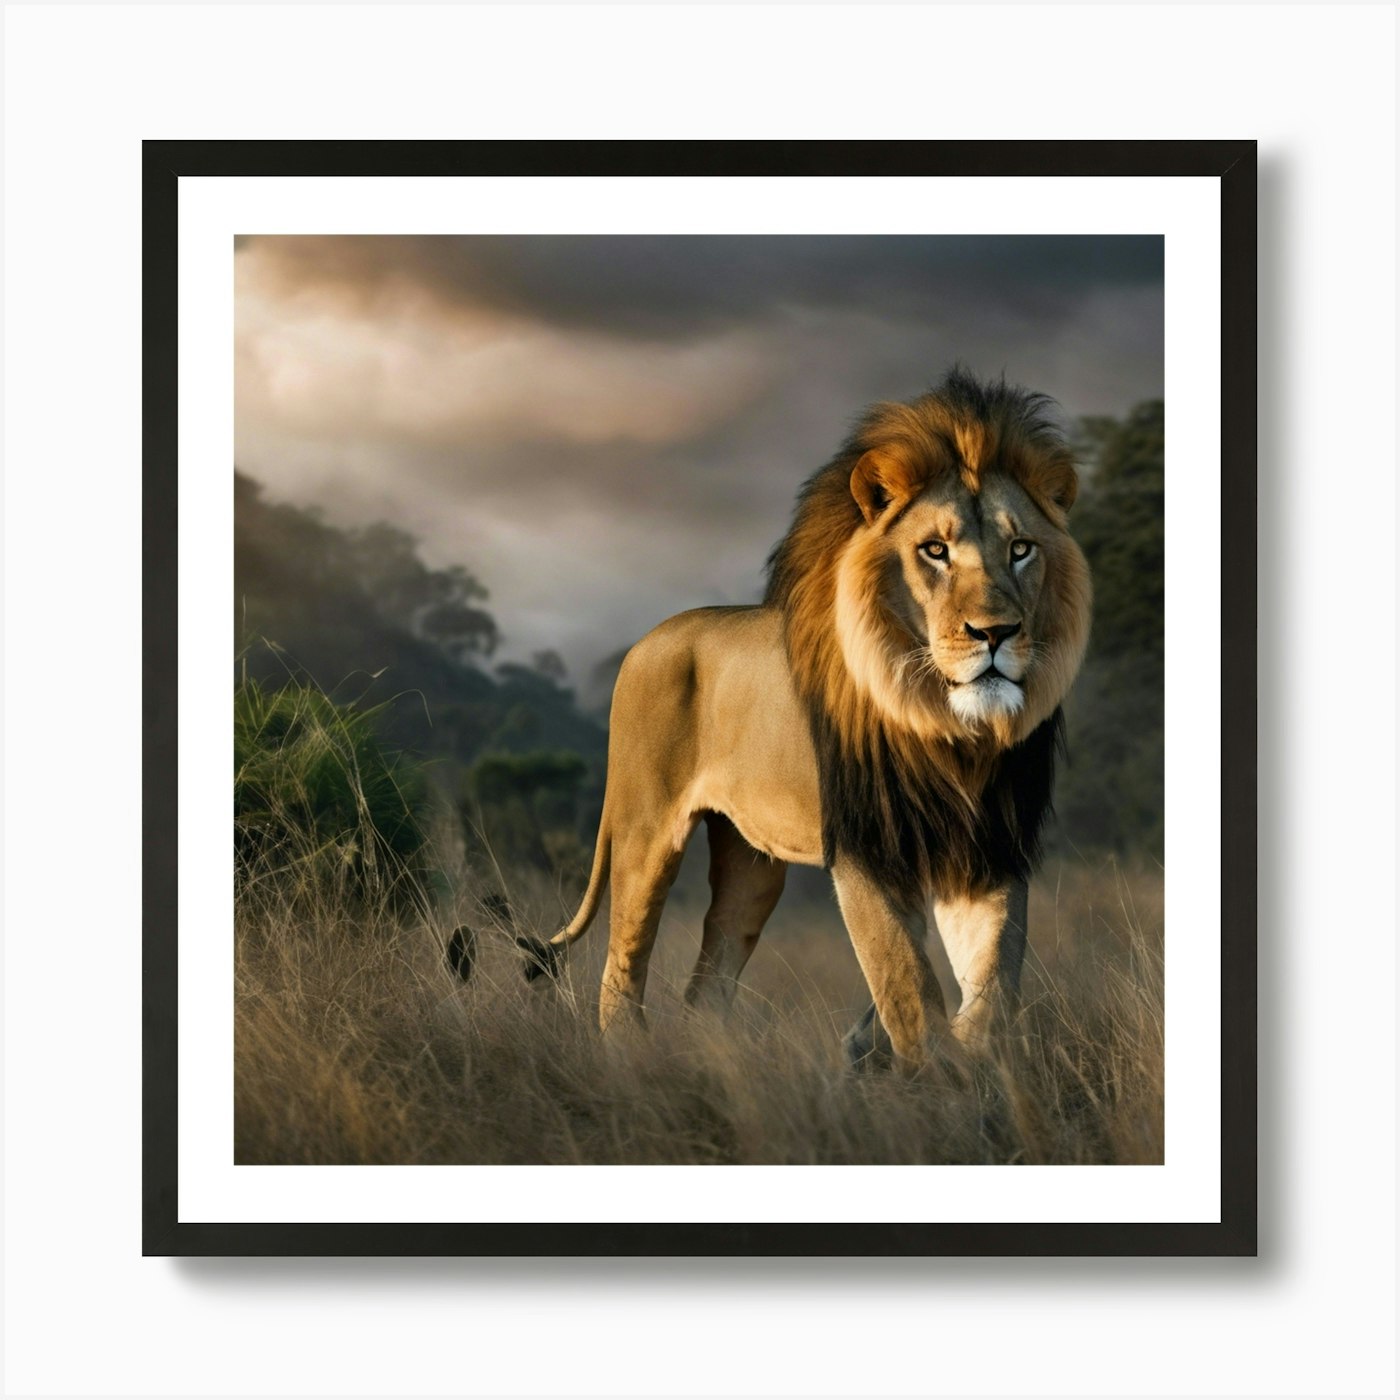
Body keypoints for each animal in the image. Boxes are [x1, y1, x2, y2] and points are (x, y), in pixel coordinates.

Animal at [467, 369, 1092, 1071]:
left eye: (1021, 549)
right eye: (934, 550)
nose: (996, 633)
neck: (949, 731)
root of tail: (644, 641)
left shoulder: (989, 852)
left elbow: (991, 990)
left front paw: (959, 1068)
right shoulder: (866, 852)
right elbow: (908, 988)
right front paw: (927, 1074)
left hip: (750, 863)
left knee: (708, 984)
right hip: (642, 832)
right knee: (621, 970)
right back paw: (633, 1061)